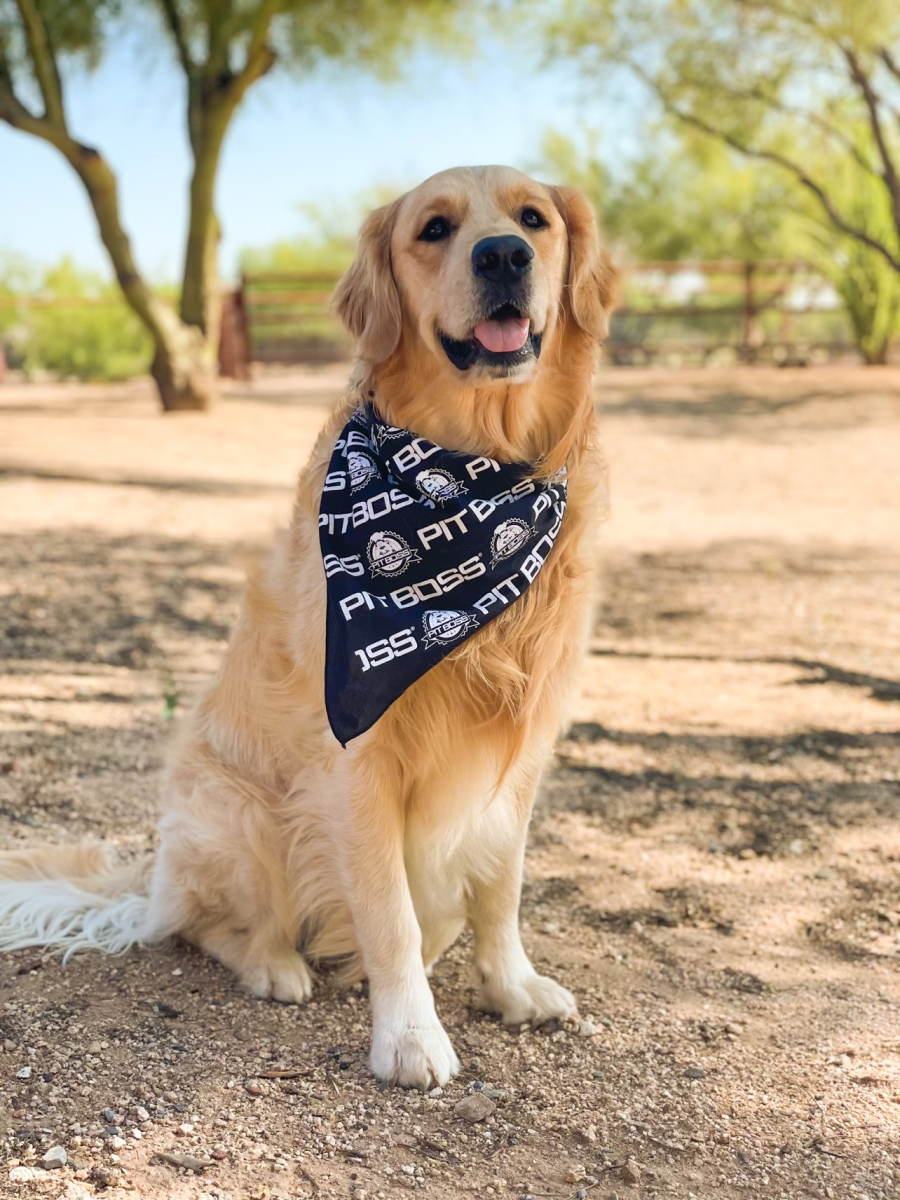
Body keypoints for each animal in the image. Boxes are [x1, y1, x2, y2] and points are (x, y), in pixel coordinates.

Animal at [0, 164, 619, 1094]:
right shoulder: (355, 754)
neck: (473, 471)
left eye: (534, 219)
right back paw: (274, 964)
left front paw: (509, 987)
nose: (504, 255)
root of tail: (155, 873)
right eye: (434, 229)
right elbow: (389, 911)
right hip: (239, 808)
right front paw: (410, 1036)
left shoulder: (523, 742)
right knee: (197, 926)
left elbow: (501, 884)